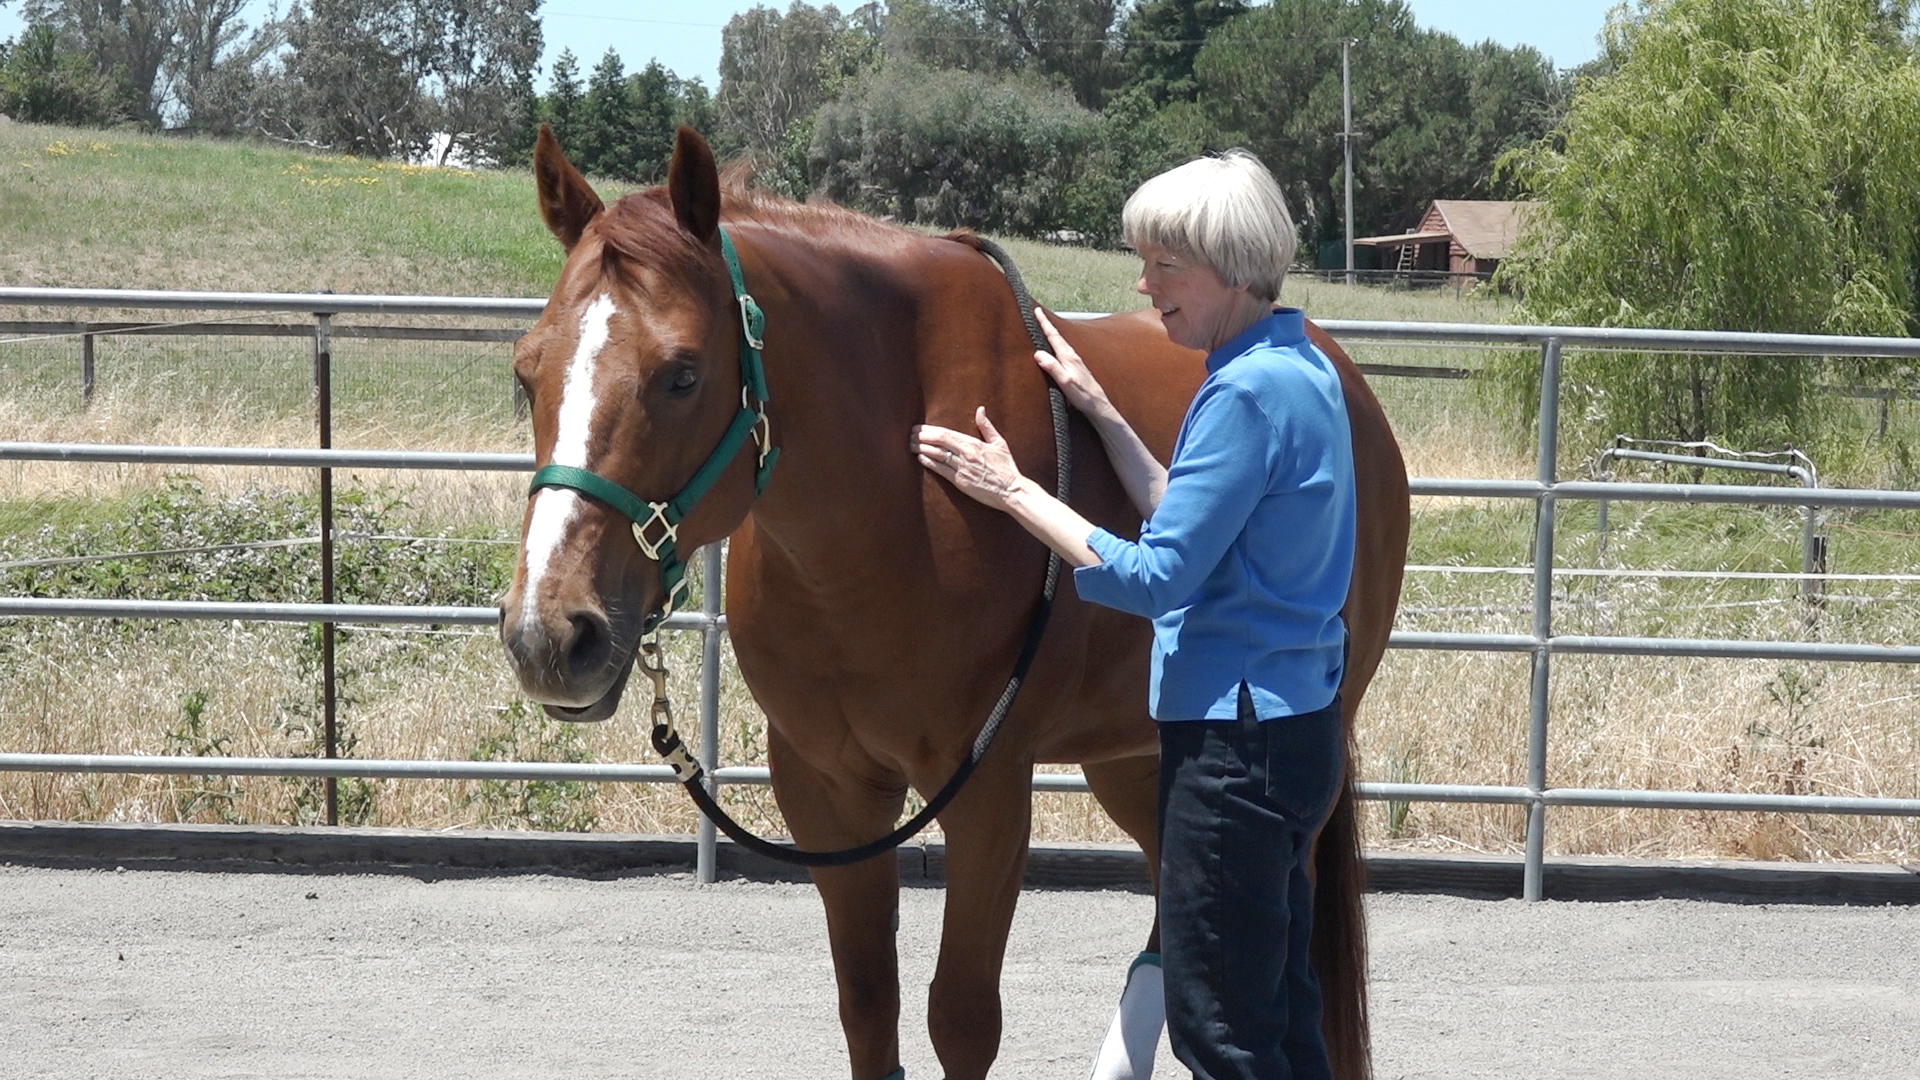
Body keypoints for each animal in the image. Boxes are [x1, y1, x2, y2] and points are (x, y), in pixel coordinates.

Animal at [498, 125, 1410, 1080]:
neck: (888, 502)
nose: (550, 635)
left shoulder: (987, 789)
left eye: (681, 375)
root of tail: (1341, 375)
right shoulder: (828, 790)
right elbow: (869, 1006)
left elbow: (962, 1017)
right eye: (526, 372)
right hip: (1137, 754)